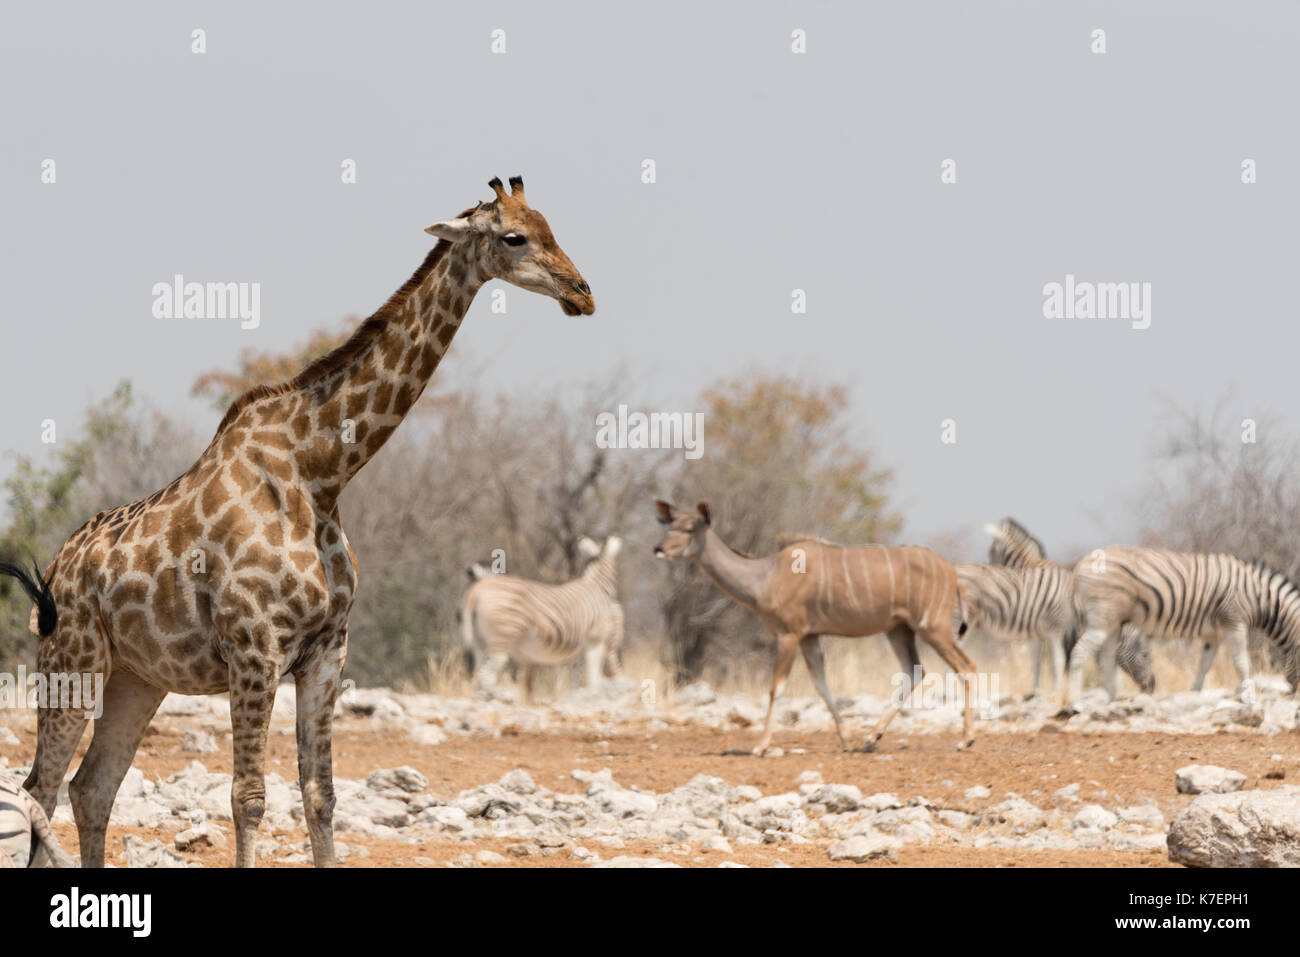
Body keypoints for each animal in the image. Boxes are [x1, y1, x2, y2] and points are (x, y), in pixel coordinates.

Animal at [0, 174, 595, 868]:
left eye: (552, 226)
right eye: (515, 236)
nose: (582, 292)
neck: (323, 473)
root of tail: (55, 572)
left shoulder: (326, 650)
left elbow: (322, 794)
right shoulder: (254, 649)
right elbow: (249, 798)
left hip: (137, 678)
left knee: (91, 786)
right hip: (73, 662)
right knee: (39, 787)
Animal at [457, 530, 624, 696]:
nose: (456, 615)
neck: (596, 585)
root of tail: (476, 592)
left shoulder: (577, 652)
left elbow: (577, 682)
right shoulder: (595, 641)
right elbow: (593, 680)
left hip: (479, 645)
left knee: (479, 677)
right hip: (500, 643)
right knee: (486, 676)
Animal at [977, 514, 1154, 696]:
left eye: (991, 553)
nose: (1151, 687)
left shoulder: (1052, 631)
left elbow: (1053, 663)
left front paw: (1053, 692)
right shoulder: (1041, 633)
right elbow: (1039, 664)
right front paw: (1038, 692)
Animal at [1066, 546, 1300, 712]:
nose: (1293, 695)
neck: (1259, 597)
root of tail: (1080, 564)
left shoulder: (1213, 633)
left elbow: (1204, 665)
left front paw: (1194, 694)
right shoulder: (1233, 620)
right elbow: (1242, 663)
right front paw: (1249, 697)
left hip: (1113, 623)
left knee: (1106, 660)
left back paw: (1112, 702)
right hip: (1102, 620)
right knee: (1080, 653)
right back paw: (1075, 702)